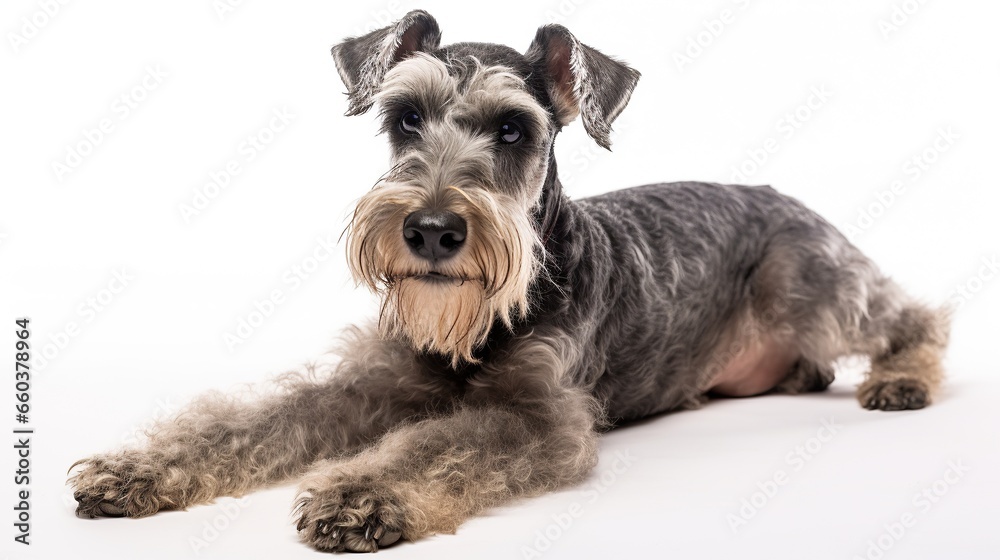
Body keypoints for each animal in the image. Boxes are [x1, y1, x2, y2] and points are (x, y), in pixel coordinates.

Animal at [66, 10, 948, 552]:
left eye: (514, 129)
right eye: (404, 119)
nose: (431, 231)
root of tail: (786, 197)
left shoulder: (536, 415)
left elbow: (440, 446)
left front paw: (362, 496)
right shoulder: (369, 379)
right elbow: (251, 420)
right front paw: (135, 470)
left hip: (816, 292)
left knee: (915, 315)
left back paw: (902, 380)